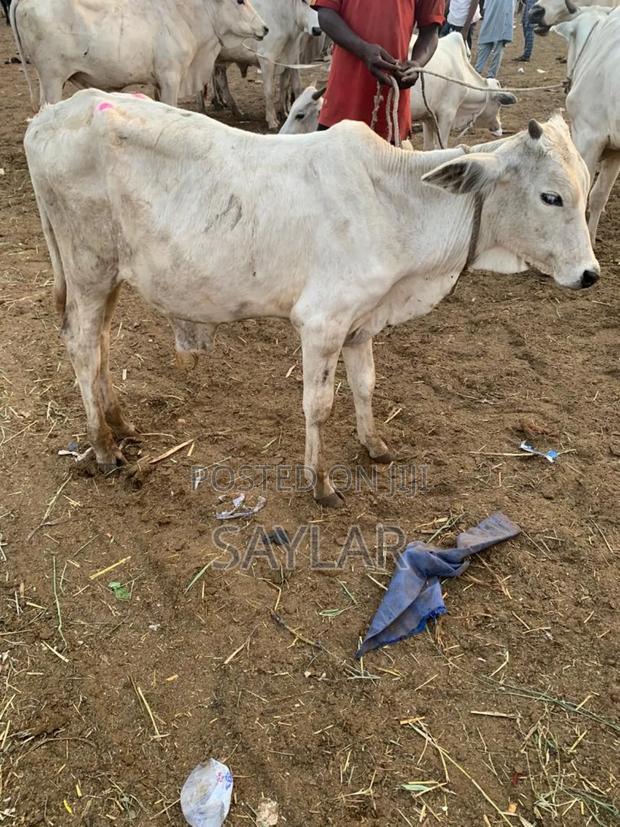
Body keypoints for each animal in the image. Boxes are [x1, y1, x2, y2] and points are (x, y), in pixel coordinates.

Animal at [24, 91, 599, 506]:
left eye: (587, 185)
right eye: (551, 196)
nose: (590, 274)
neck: (394, 202)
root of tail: (52, 113)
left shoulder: (362, 322)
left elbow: (366, 385)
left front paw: (374, 445)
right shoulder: (322, 322)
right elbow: (318, 404)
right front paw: (320, 483)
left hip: (109, 277)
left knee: (100, 344)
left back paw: (119, 423)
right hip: (89, 269)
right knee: (83, 347)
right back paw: (102, 447)